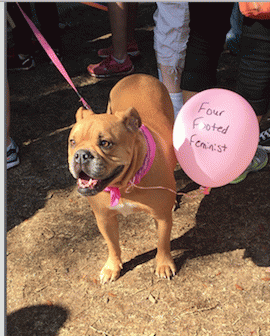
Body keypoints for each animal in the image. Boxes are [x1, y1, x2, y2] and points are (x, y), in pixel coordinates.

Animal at [68, 74, 177, 284]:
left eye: (105, 143)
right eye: (72, 142)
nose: (81, 155)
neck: (123, 184)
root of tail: (138, 76)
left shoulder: (162, 217)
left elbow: (163, 243)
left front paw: (164, 264)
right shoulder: (104, 218)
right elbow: (112, 244)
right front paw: (113, 267)